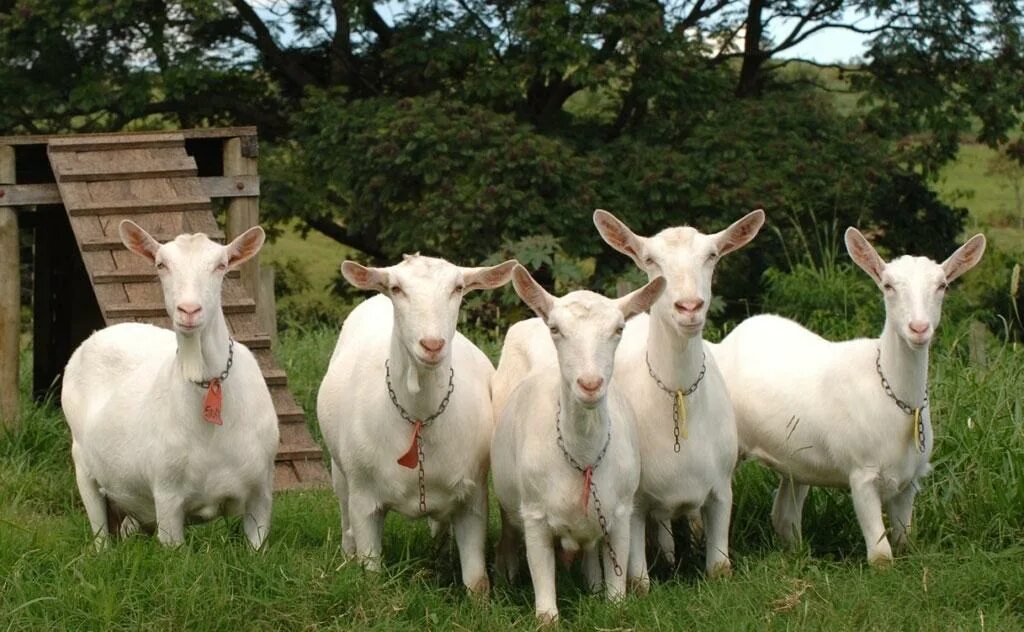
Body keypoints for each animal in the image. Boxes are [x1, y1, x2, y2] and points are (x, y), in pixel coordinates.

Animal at [64, 220, 280, 549]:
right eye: (161, 264)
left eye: (221, 265)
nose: (189, 310)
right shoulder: (167, 495)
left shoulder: (261, 492)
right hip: (83, 466)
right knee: (100, 532)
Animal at [315, 250, 516, 590]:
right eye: (397, 288)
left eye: (458, 288)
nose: (432, 345)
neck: (419, 418)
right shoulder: (365, 502)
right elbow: (370, 573)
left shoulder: (473, 498)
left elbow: (477, 581)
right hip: (340, 472)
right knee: (344, 518)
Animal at [712, 228, 983, 561]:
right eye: (888, 285)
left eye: (942, 285)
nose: (918, 328)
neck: (892, 395)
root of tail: (727, 342)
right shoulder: (862, 473)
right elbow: (881, 555)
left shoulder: (910, 482)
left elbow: (904, 541)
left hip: (797, 457)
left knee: (784, 513)